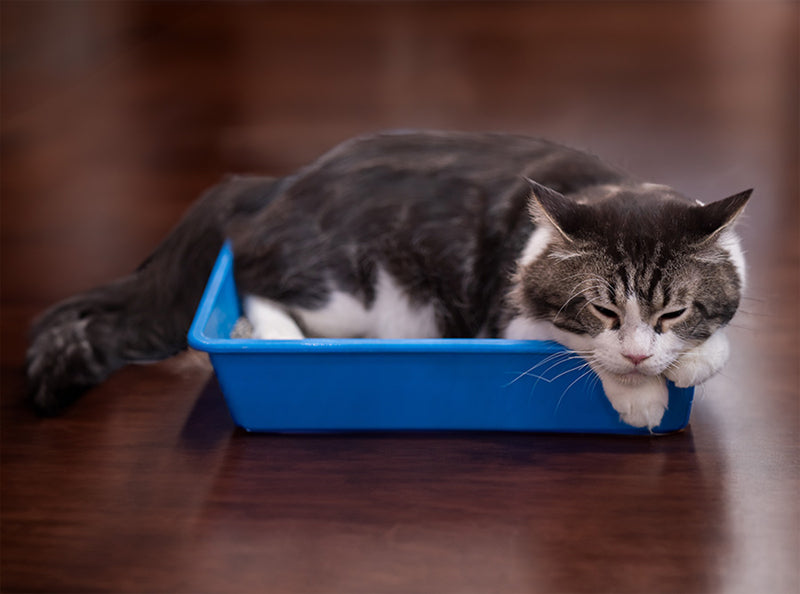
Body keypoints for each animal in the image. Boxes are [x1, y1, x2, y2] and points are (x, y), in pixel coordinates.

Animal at [25, 131, 752, 426]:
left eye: (672, 313)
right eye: (602, 311)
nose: (640, 354)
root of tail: (278, 184)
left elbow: (716, 346)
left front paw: (689, 362)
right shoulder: (506, 316)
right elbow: (574, 350)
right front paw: (640, 396)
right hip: (352, 292)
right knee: (257, 283)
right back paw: (274, 339)